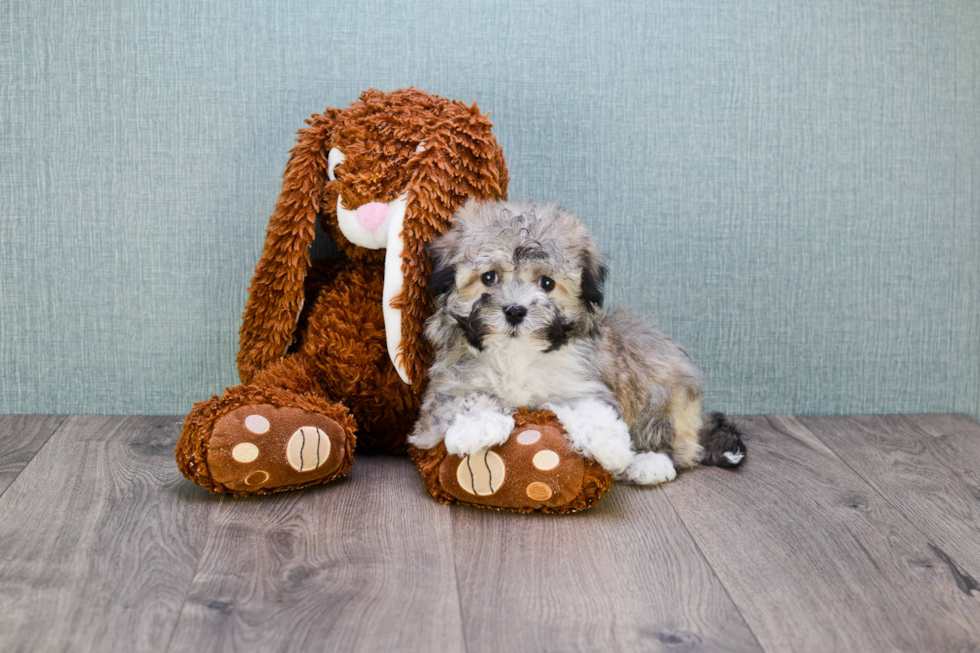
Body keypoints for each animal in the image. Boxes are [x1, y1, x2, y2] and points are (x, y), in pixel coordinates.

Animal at [410, 199, 748, 484]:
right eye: (489, 277)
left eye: (547, 283)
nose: (515, 311)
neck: (517, 353)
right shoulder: (449, 381)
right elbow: (461, 398)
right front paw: (478, 425)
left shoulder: (581, 380)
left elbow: (592, 407)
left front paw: (611, 446)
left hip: (661, 387)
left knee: (680, 445)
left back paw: (649, 463)